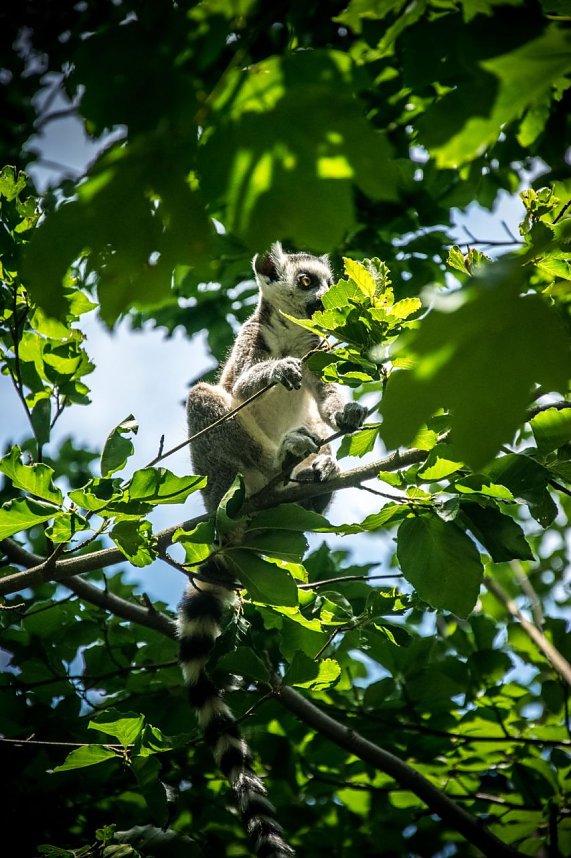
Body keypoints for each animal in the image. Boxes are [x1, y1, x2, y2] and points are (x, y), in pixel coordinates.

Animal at [177, 242, 367, 857]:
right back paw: (281, 459)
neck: (290, 338)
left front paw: (346, 415)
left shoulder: (321, 353)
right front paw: (276, 373)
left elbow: (328, 400)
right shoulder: (249, 342)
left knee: (314, 436)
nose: (325, 301)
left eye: (329, 281)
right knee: (210, 398)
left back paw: (314, 468)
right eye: (307, 281)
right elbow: (240, 385)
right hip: (218, 473)